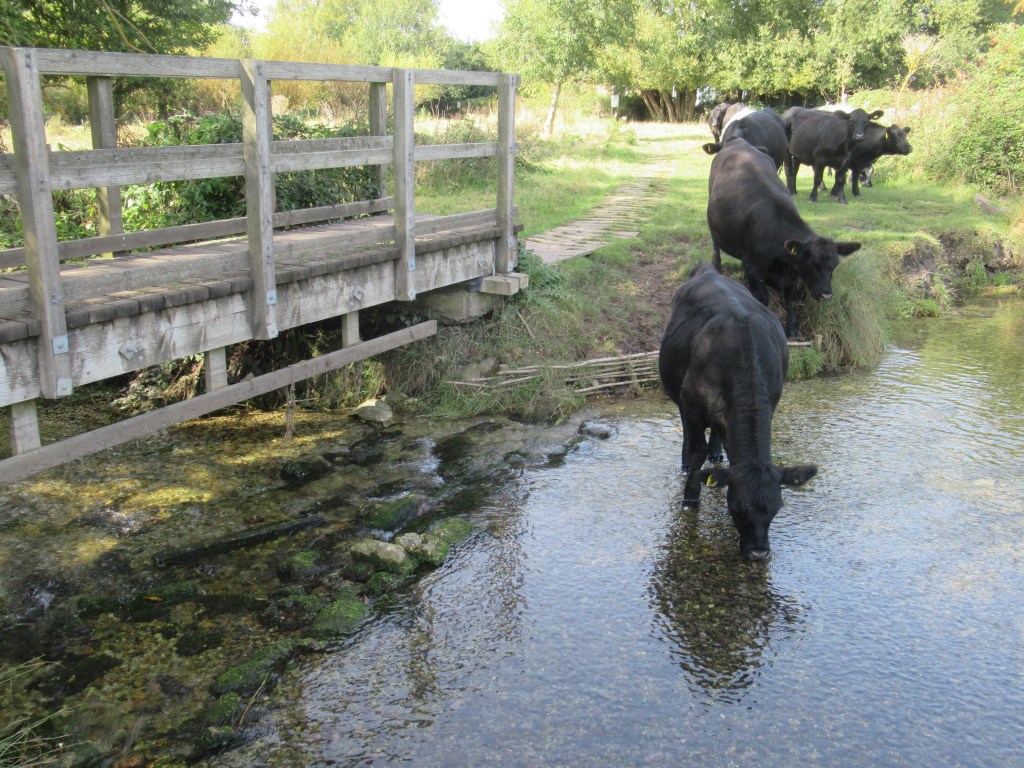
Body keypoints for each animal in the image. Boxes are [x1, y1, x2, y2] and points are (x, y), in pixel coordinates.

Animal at [658, 262, 818, 561]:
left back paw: (716, 453)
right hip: (681, 398)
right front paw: (690, 497)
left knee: (718, 433)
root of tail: (707, 269)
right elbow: (696, 452)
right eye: (738, 507)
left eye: (776, 508)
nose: (759, 553)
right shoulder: (692, 406)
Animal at [705, 138, 862, 338]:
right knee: (715, 245)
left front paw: (793, 328)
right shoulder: (755, 267)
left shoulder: (791, 272)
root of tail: (739, 142)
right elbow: (763, 298)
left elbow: (790, 298)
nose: (826, 294)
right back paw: (716, 266)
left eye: (834, 265)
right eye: (812, 264)